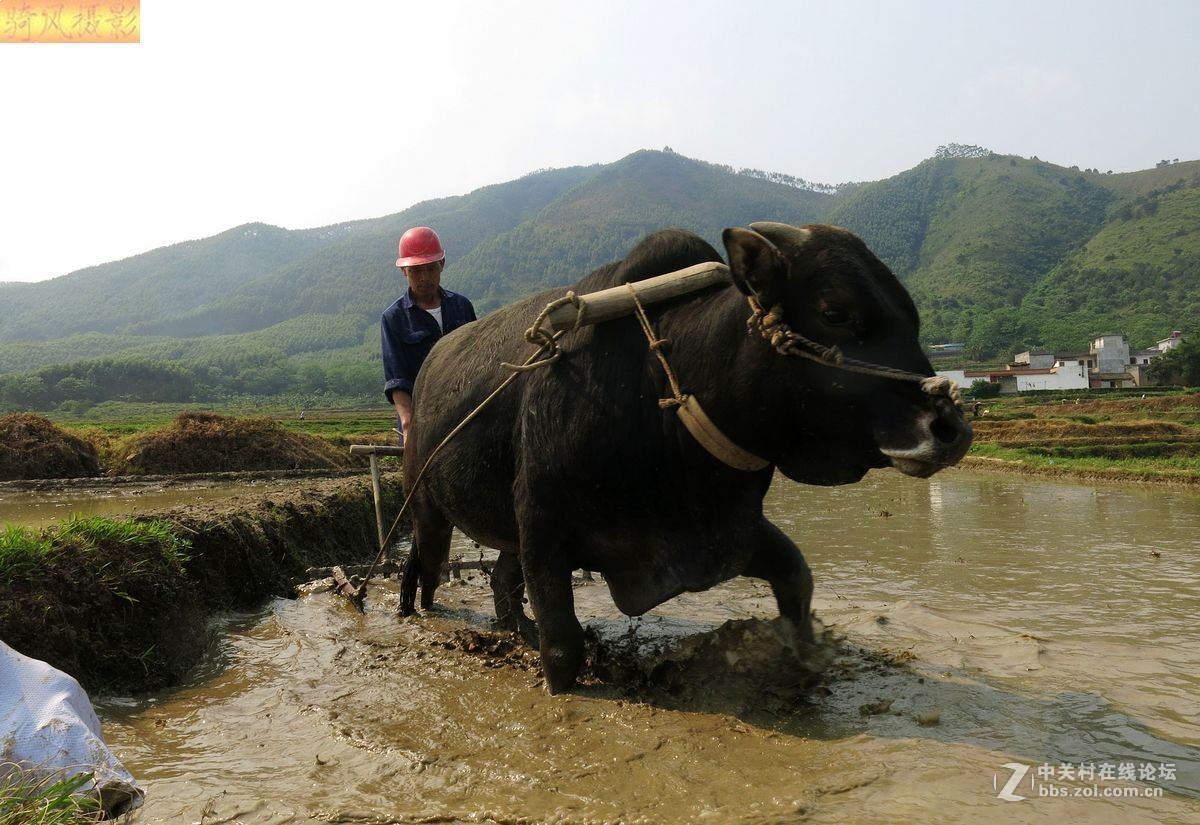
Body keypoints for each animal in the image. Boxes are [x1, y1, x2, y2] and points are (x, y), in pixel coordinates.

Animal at [403, 221, 974, 690]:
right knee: (424, 566)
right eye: (834, 311)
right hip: (429, 509)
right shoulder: (545, 528)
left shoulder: (732, 530)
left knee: (501, 580)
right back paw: (416, 613)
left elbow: (797, 578)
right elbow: (563, 649)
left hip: (507, 532)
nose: (948, 427)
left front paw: (800, 661)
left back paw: (516, 628)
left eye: (912, 315)